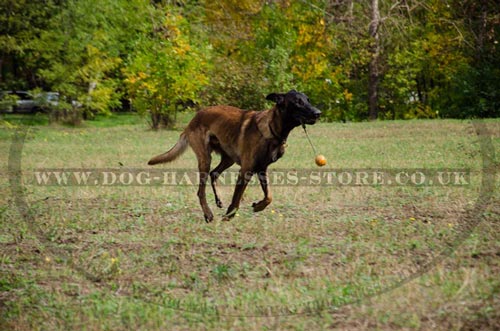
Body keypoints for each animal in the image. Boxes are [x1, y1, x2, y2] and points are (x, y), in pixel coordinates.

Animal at [147, 89, 320, 222]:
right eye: (298, 102)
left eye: (308, 100)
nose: (318, 113)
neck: (272, 129)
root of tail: (192, 120)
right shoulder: (246, 170)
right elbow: (237, 197)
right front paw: (229, 216)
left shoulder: (262, 169)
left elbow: (269, 196)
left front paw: (258, 206)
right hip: (205, 159)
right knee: (201, 190)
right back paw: (208, 214)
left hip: (228, 158)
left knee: (214, 173)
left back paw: (218, 200)